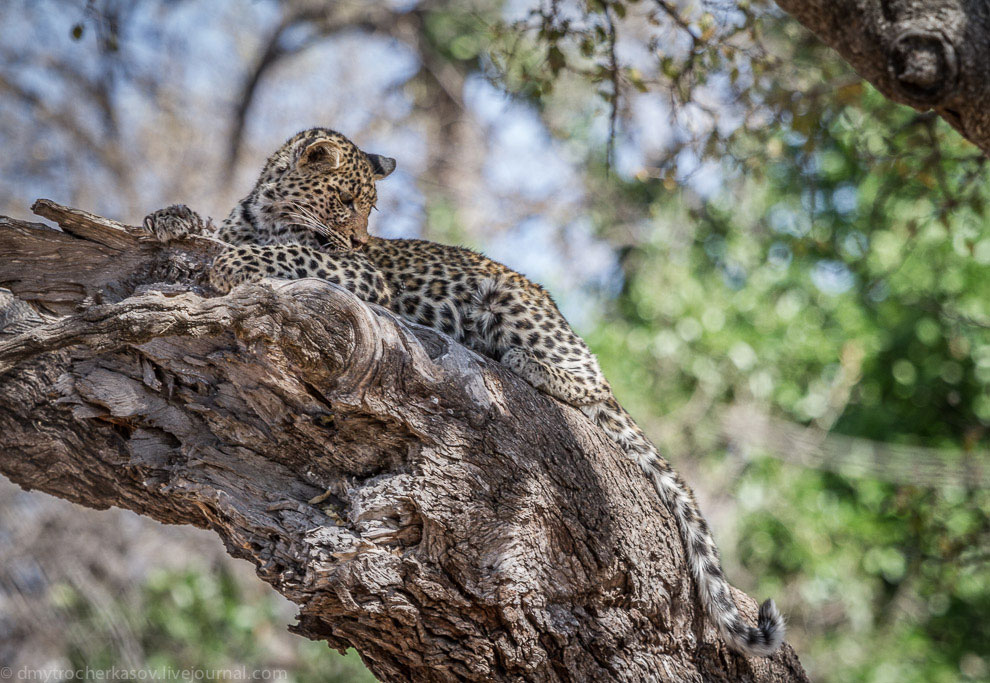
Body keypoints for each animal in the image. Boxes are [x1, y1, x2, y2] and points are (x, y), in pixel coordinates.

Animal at [141, 127, 792, 656]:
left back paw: (528, 364)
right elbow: (225, 231)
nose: (358, 242)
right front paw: (171, 218)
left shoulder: (359, 275)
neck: (264, 212)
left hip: (513, 300)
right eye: (347, 201)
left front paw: (233, 262)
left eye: (368, 210)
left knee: (590, 380)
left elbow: (290, 253)